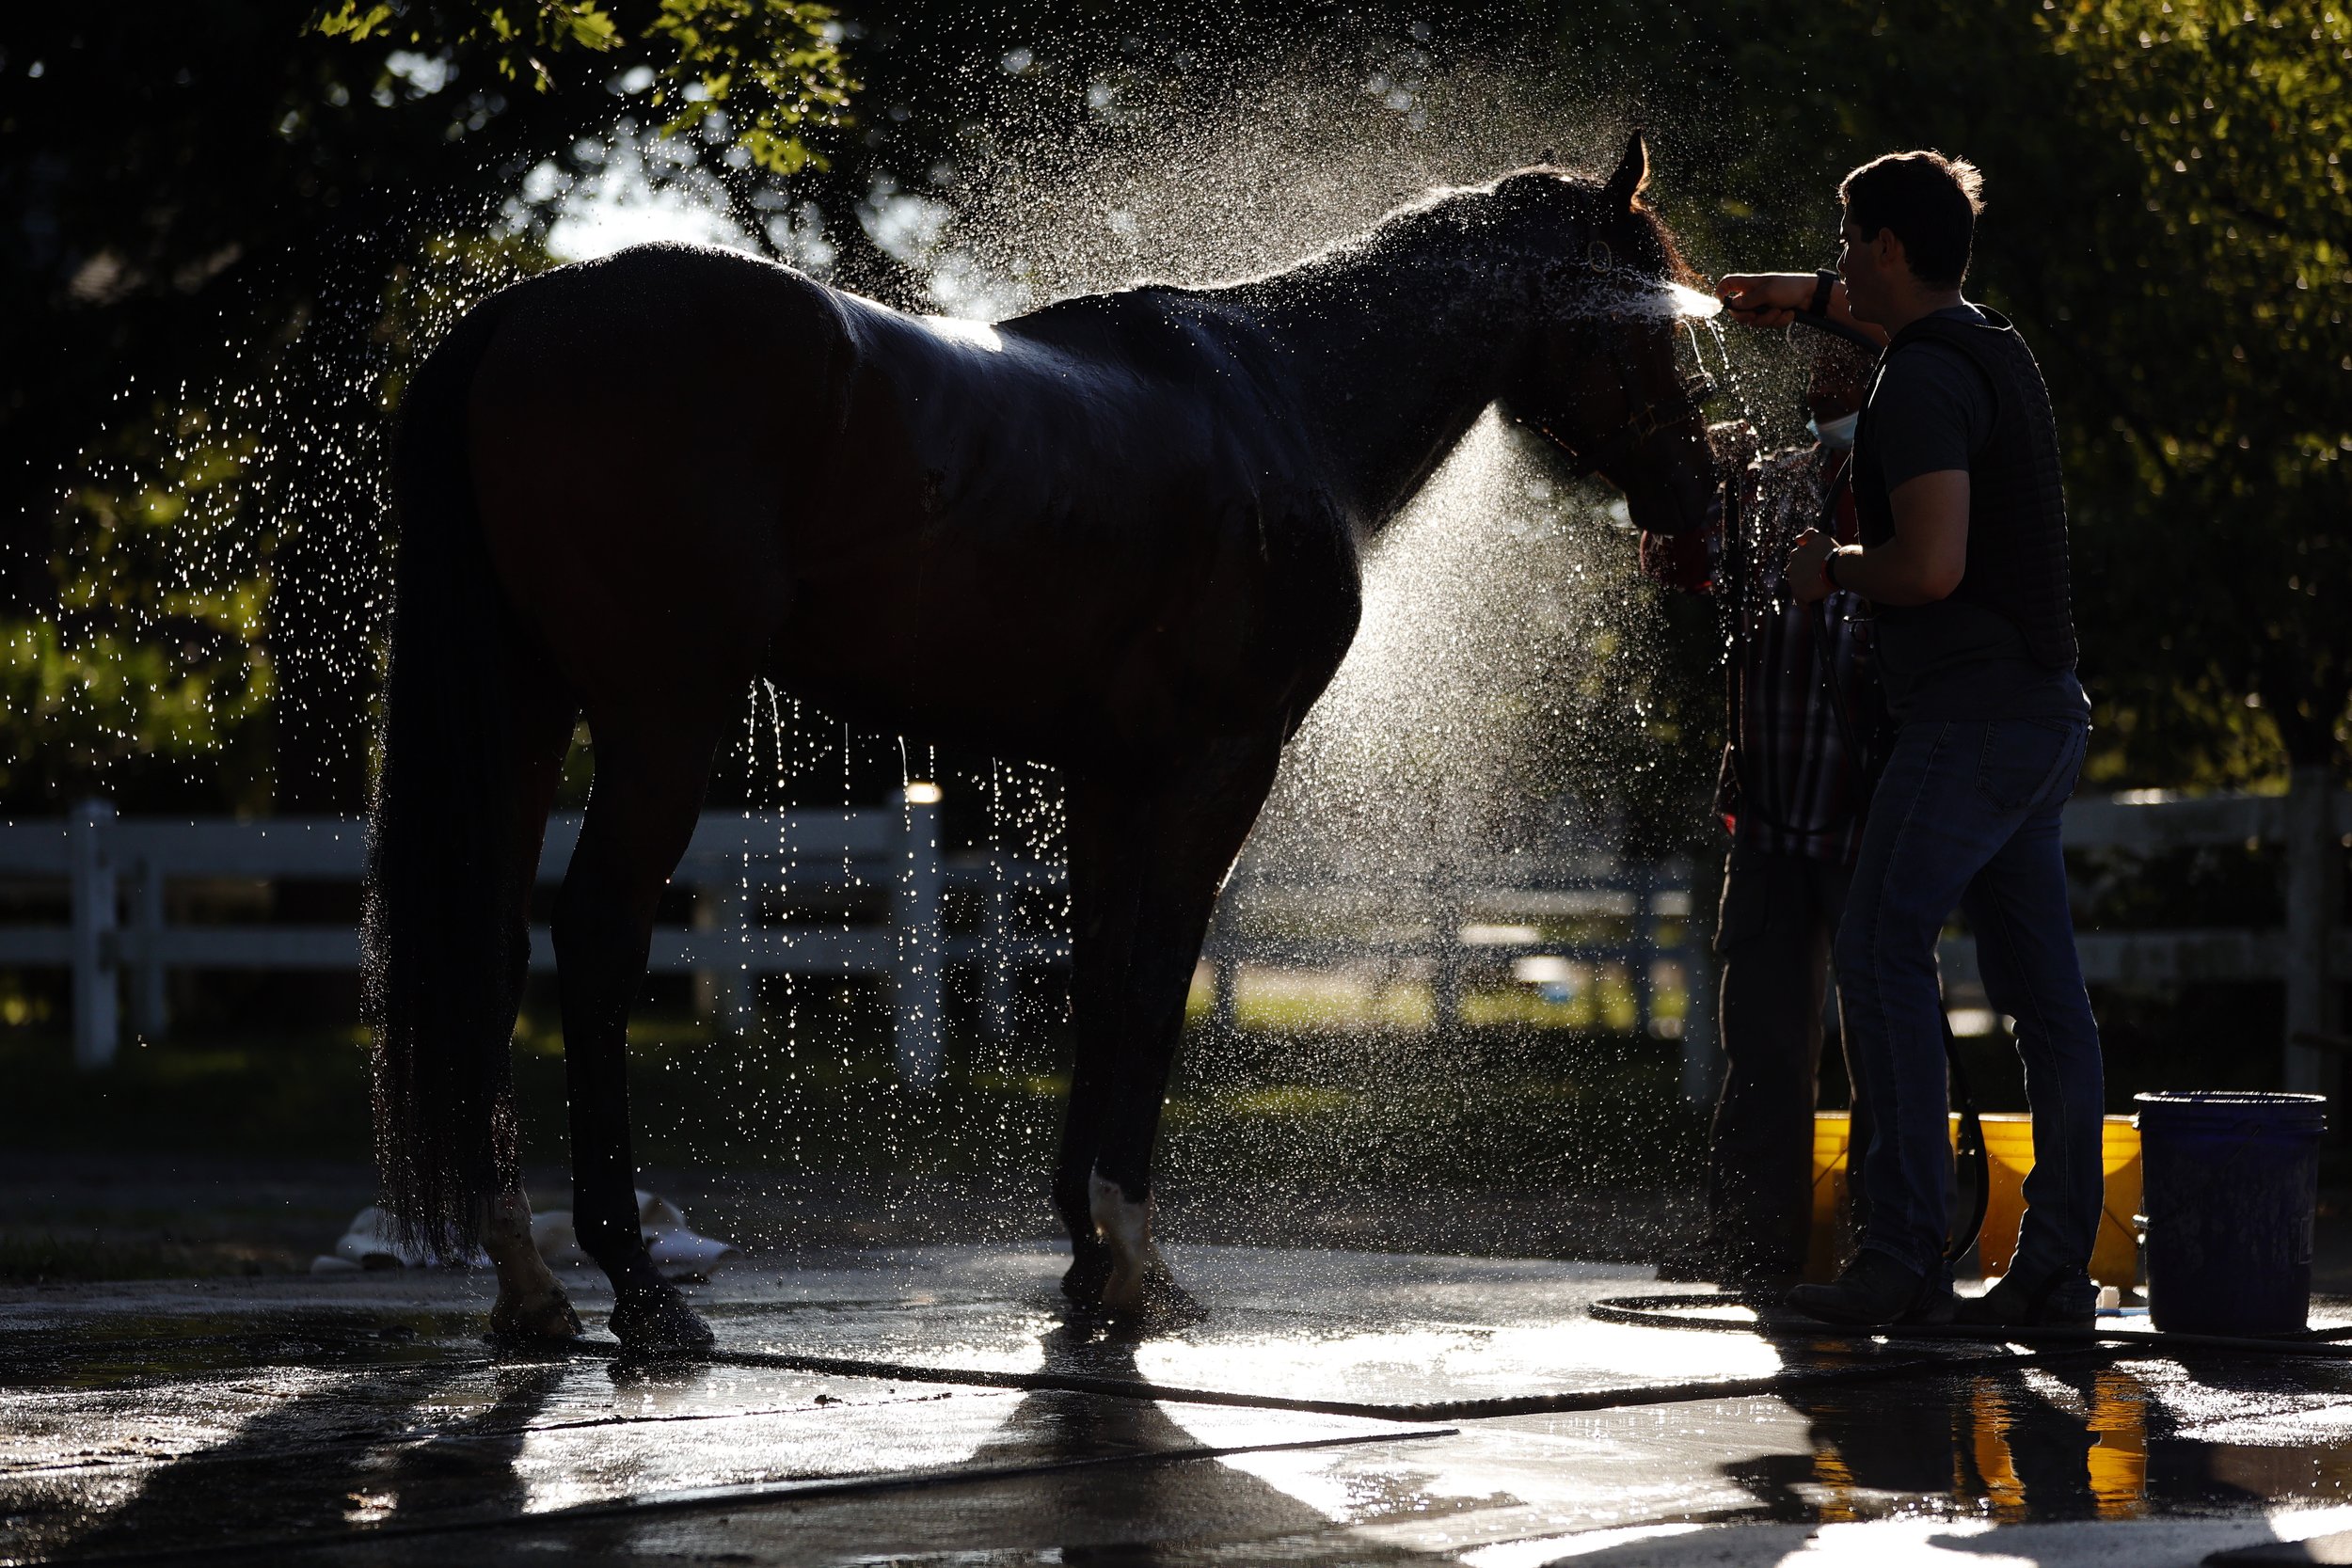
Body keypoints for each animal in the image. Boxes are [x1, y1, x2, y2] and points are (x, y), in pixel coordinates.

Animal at [372, 128, 1731, 1354]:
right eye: (1646, 319)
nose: (1696, 494)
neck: (1279, 397)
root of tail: (526, 313)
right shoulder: (1218, 764)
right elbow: (1158, 976)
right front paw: (1124, 1254)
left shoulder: (1109, 776)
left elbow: (1100, 973)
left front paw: (1091, 1258)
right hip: (663, 714)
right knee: (596, 936)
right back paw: (637, 1284)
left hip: (530, 709)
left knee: (492, 941)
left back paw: (529, 1283)